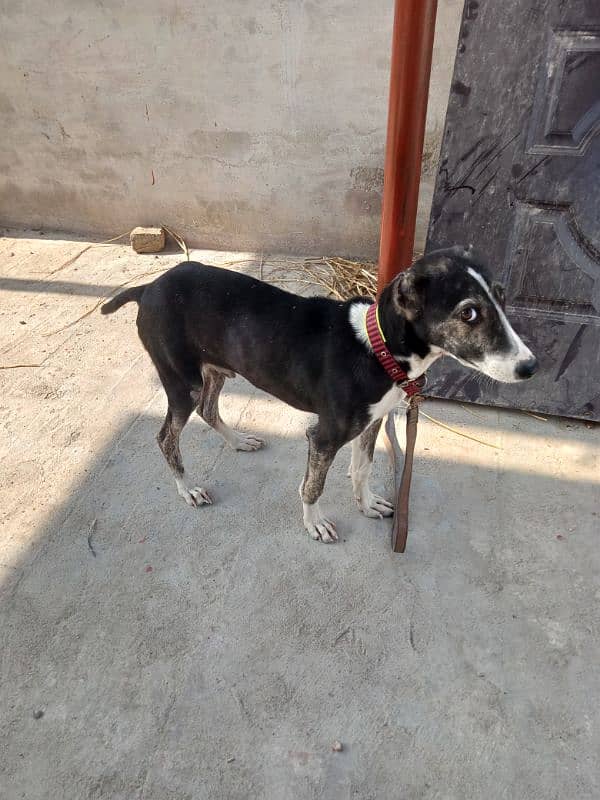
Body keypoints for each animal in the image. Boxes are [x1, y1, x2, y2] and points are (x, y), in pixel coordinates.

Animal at [101, 245, 536, 544]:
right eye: (468, 313)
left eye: (501, 296)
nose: (530, 367)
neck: (376, 348)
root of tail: (149, 287)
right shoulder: (323, 437)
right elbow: (313, 486)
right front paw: (315, 523)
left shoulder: (373, 421)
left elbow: (362, 468)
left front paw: (367, 503)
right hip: (182, 382)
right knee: (166, 437)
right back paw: (187, 488)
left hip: (214, 371)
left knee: (209, 410)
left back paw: (238, 441)